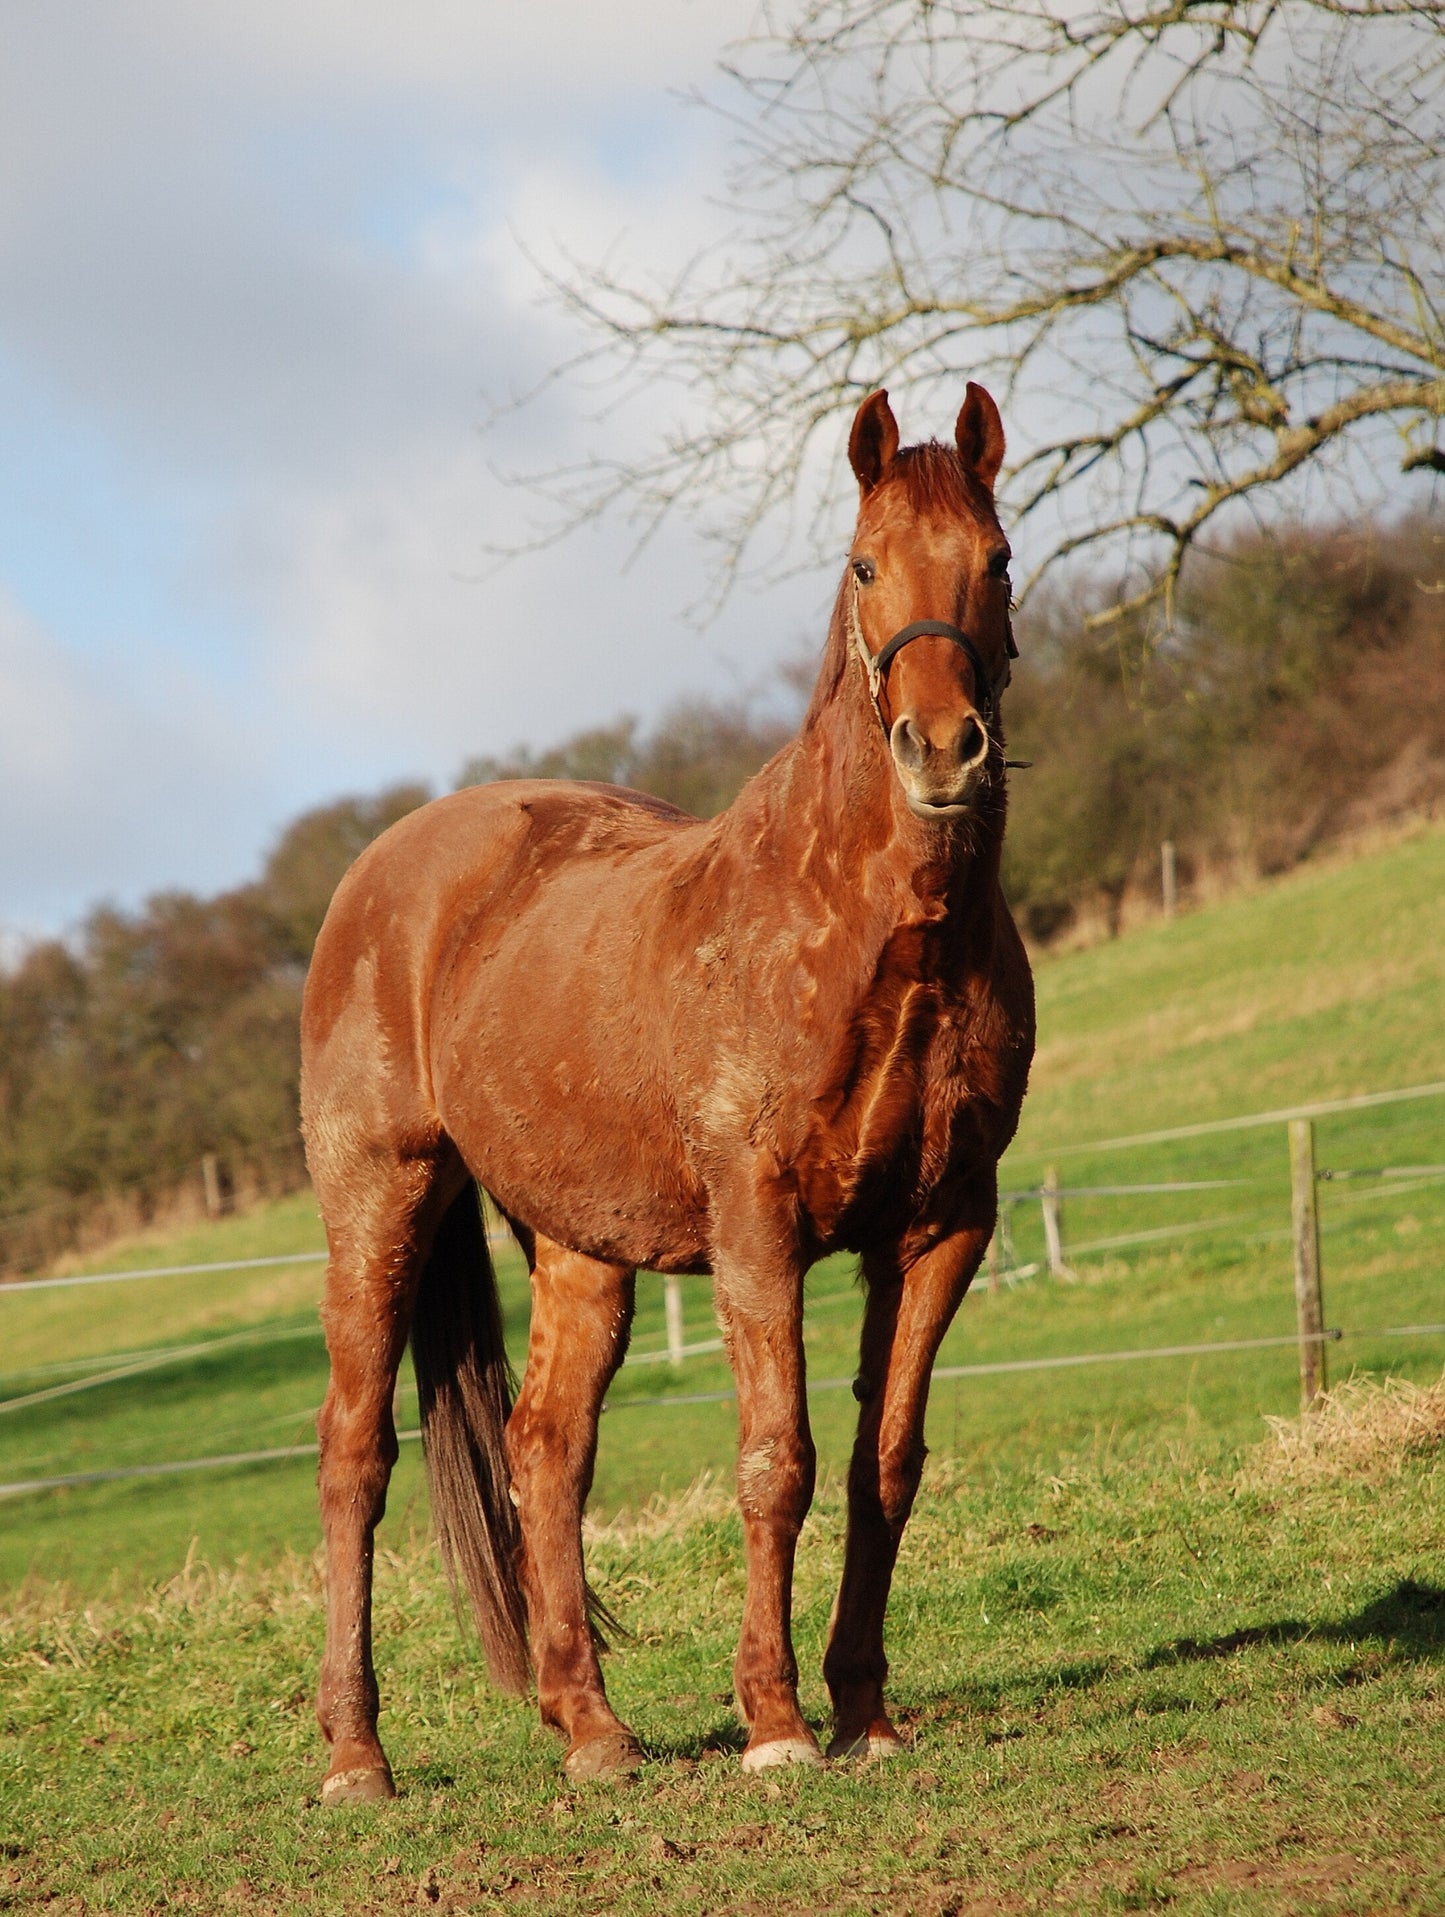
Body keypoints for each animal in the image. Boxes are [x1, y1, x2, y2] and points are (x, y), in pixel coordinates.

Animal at [301, 384, 1035, 1803]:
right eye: (863, 567)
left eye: (997, 560)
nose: (940, 751)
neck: (875, 937)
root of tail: (385, 870)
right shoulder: (758, 1229)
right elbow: (775, 1462)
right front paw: (775, 1722)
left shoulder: (942, 1228)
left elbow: (883, 1465)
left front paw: (862, 1709)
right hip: (379, 1200)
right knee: (355, 1456)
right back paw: (359, 1755)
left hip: (579, 1245)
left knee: (544, 1451)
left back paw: (590, 1729)